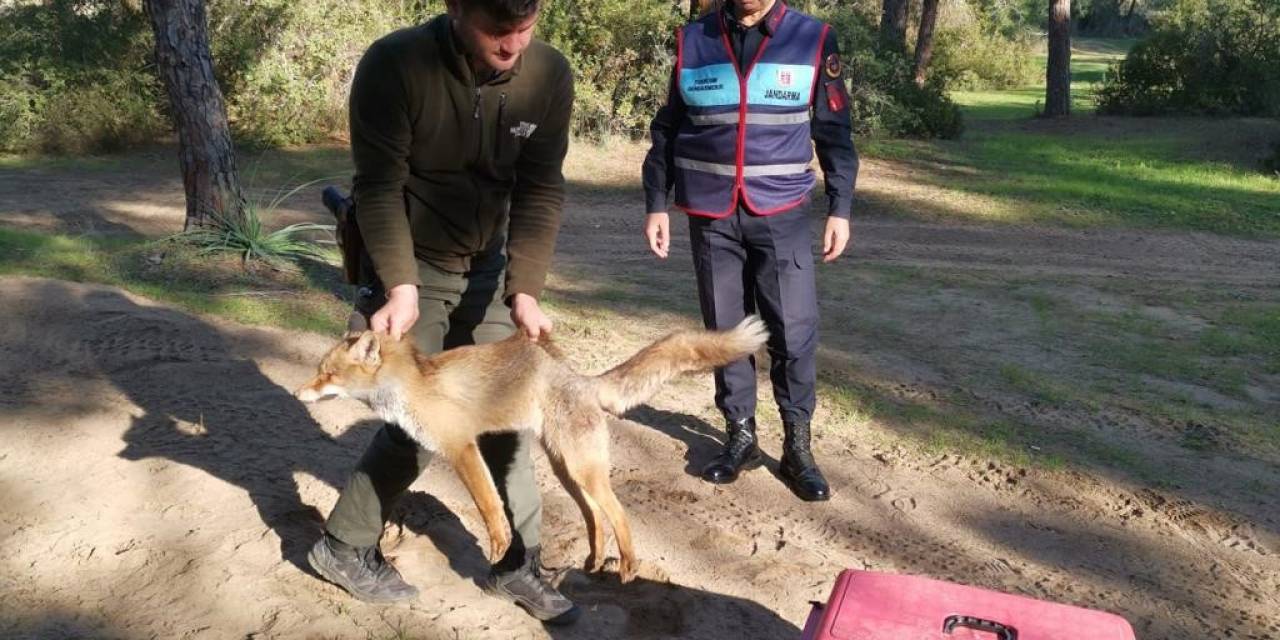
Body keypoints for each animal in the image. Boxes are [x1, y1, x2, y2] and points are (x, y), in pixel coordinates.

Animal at [294, 313, 762, 581]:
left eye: (327, 374)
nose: (300, 392)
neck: (411, 387)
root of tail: (579, 378)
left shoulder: (462, 447)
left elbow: (489, 506)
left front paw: (500, 546)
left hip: (583, 470)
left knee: (618, 515)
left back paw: (628, 568)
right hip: (567, 472)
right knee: (595, 518)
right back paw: (593, 565)